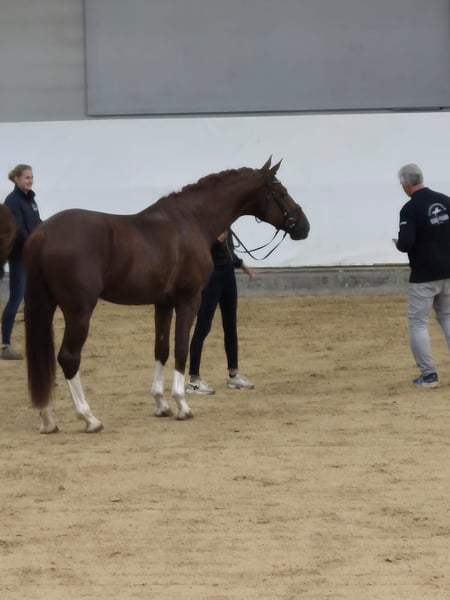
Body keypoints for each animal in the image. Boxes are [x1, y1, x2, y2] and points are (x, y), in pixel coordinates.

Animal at [24, 157, 310, 434]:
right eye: (281, 192)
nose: (304, 227)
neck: (191, 221)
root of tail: (43, 233)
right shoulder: (189, 301)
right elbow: (182, 348)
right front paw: (182, 405)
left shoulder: (163, 304)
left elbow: (161, 349)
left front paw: (161, 404)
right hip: (79, 312)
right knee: (68, 358)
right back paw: (89, 418)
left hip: (47, 305)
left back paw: (47, 420)